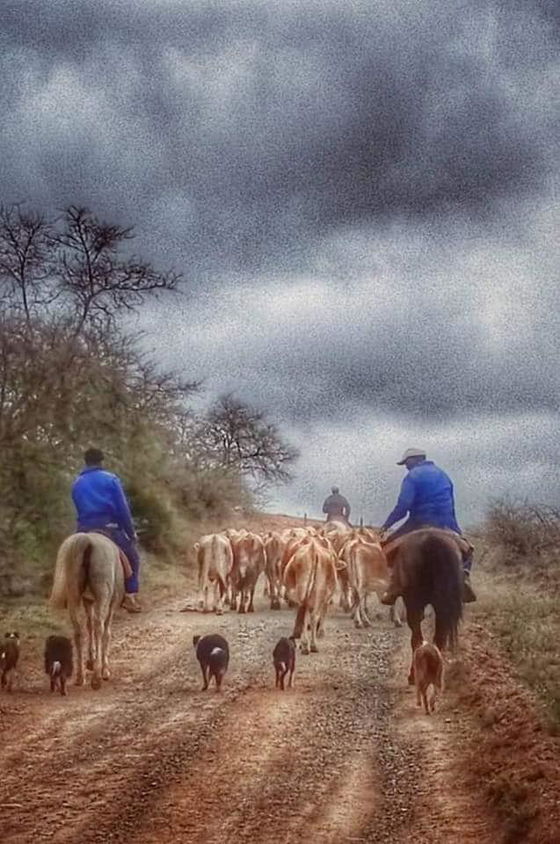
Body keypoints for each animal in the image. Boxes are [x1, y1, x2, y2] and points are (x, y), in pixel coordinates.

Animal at [49, 536, 124, 688]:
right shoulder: (112, 603)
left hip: (74, 597)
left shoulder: (87, 601)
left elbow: (89, 627)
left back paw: (80, 676)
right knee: (99, 628)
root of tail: (87, 540)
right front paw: (104, 668)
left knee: (79, 632)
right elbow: (105, 632)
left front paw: (91, 659)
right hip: (103, 596)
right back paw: (97, 676)